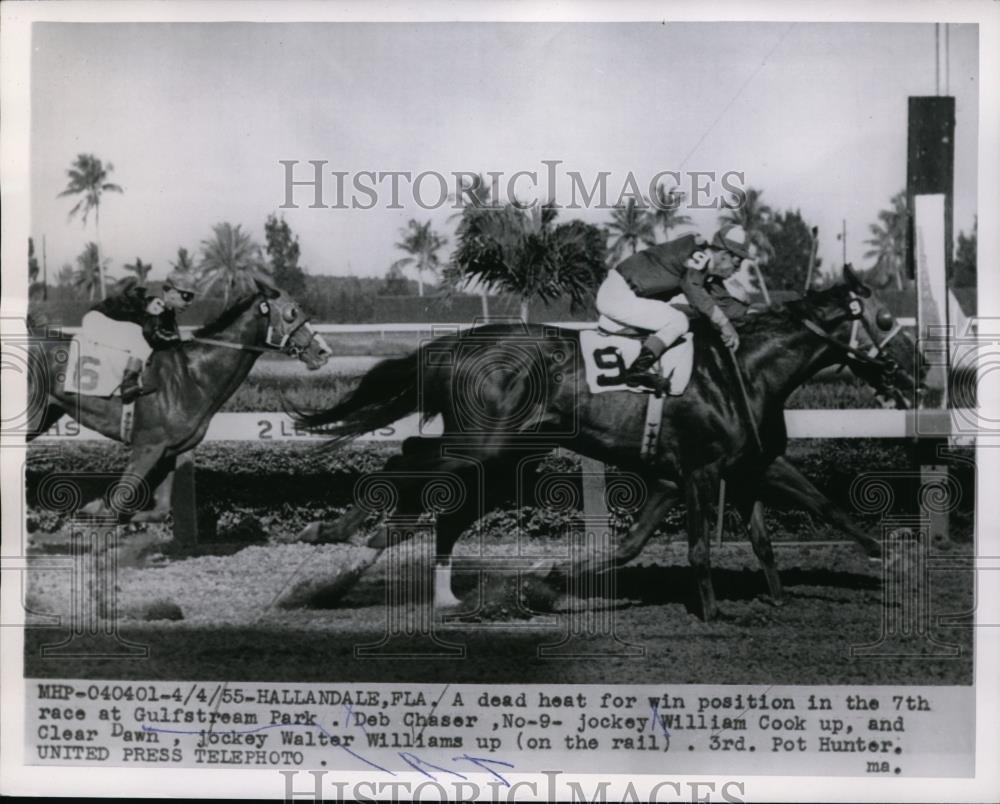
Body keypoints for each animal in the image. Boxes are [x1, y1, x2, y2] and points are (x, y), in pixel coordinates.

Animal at [26, 278, 332, 520]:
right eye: (292, 313)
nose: (323, 351)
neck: (193, 376)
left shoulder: (167, 451)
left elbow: (159, 511)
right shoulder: (147, 446)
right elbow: (116, 505)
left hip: (46, 415)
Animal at [288, 266, 916, 620]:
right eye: (887, 319)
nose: (916, 374)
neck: (745, 371)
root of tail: (449, 345)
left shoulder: (741, 468)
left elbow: (814, 512)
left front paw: (885, 561)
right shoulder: (700, 472)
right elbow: (696, 549)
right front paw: (716, 613)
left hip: (506, 458)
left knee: (444, 504)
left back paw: (426, 588)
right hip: (482, 445)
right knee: (408, 460)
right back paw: (332, 536)